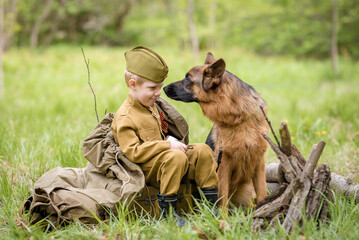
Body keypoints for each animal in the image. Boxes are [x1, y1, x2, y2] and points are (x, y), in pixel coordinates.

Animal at [165, 53, 268, 212]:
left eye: (188, 78)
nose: (164, 87)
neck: (240, 118)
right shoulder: (224, 165)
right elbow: (222, 197)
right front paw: (222, 217)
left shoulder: (259, 162)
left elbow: (262, 192)